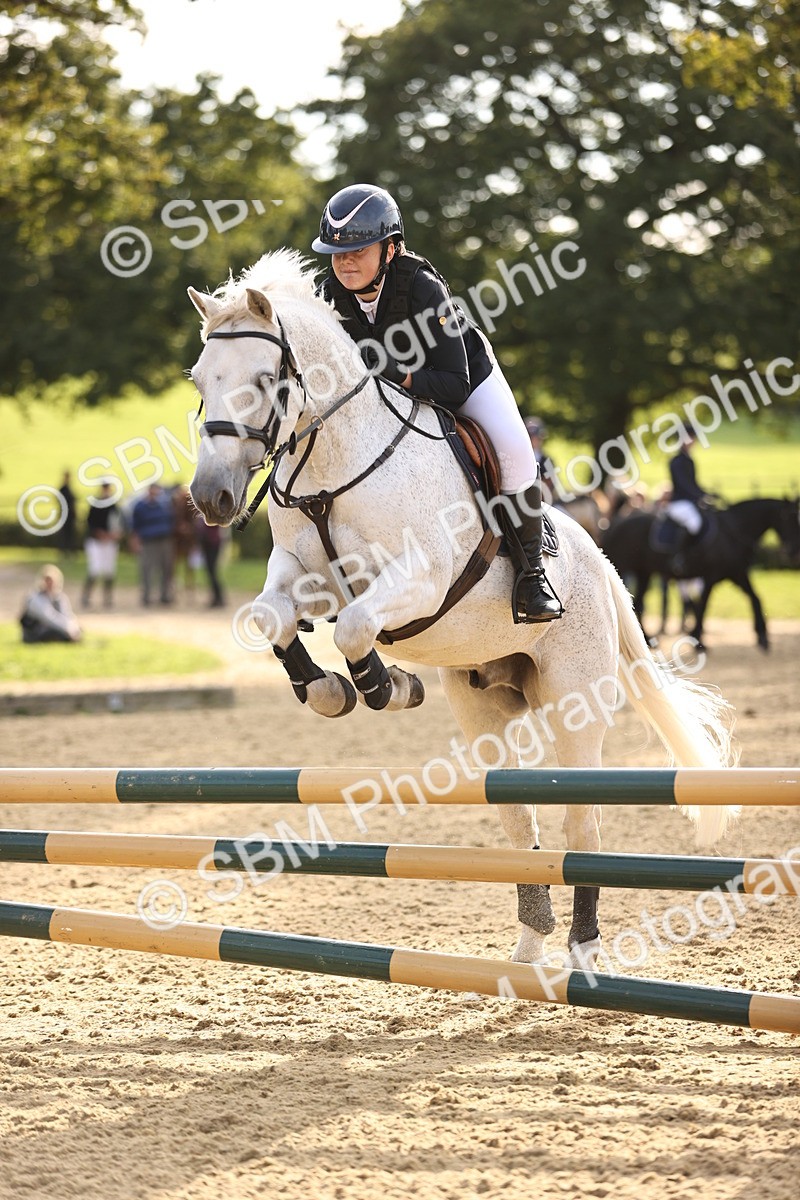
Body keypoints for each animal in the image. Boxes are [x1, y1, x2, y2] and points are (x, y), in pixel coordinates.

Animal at [187, 249, 738, 969]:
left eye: (262, 378)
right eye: (200, 379)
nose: (211, 498)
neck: (334, 464)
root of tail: (601, 561)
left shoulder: (418, 580)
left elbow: (358, 628)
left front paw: (385, 686)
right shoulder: (304, 575)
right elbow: (271, 617)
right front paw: (332, 690)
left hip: (574, 700)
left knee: (581, 819)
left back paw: (583, 949)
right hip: (486, 708)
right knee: (518, 815)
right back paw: (529, 946)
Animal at [602, 500, 800, 651]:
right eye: (789, 519)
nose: (793, 553)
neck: (733, 531)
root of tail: (615, 523)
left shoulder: (736, 573)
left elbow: (755, 598)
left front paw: (762, 637)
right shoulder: (711, 576)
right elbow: (703, 606)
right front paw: (698, 641)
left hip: (644, 572)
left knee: (638, 602)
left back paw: (648, 639)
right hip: (628, 569)